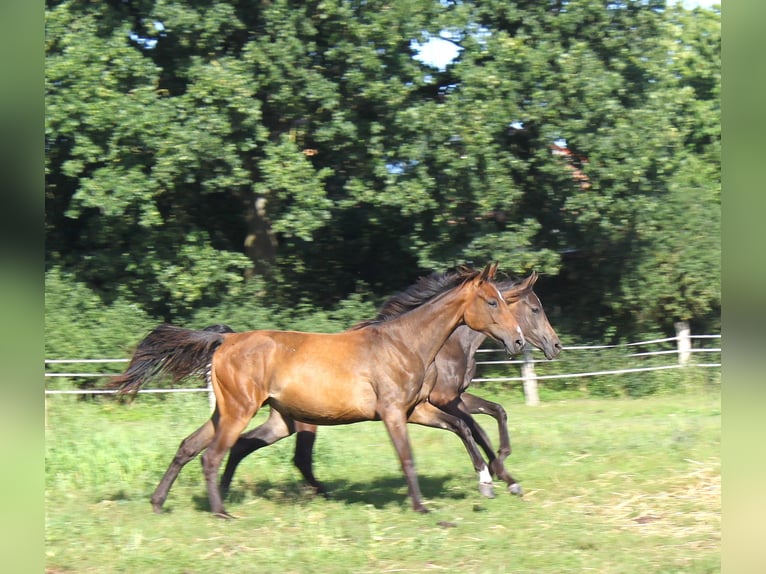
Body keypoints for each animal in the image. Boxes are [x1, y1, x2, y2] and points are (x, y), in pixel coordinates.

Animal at [109, 263, 525, 517]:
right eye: (492, 301)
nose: (519, 341)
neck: (403, 343)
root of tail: (225, 340)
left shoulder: (416, 409)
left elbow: (462, 427)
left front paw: (489, 481)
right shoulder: (393, 413)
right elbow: (409, 457)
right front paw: (423, 506)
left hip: (239, 413)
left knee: (190, 446)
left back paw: (160, 502)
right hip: (240, 411)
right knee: (212, 456)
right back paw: (222, 511)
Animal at [218, 271, 561, 500]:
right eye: (535, 309)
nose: (555, 345)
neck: (447, 344)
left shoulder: (449, 399)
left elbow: (495, 413)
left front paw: (503, 472)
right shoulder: (444, 399)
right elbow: (477, 428)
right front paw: (498, 472)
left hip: (286, 419)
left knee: (250, 445)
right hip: (306, 419)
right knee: (297, 457)